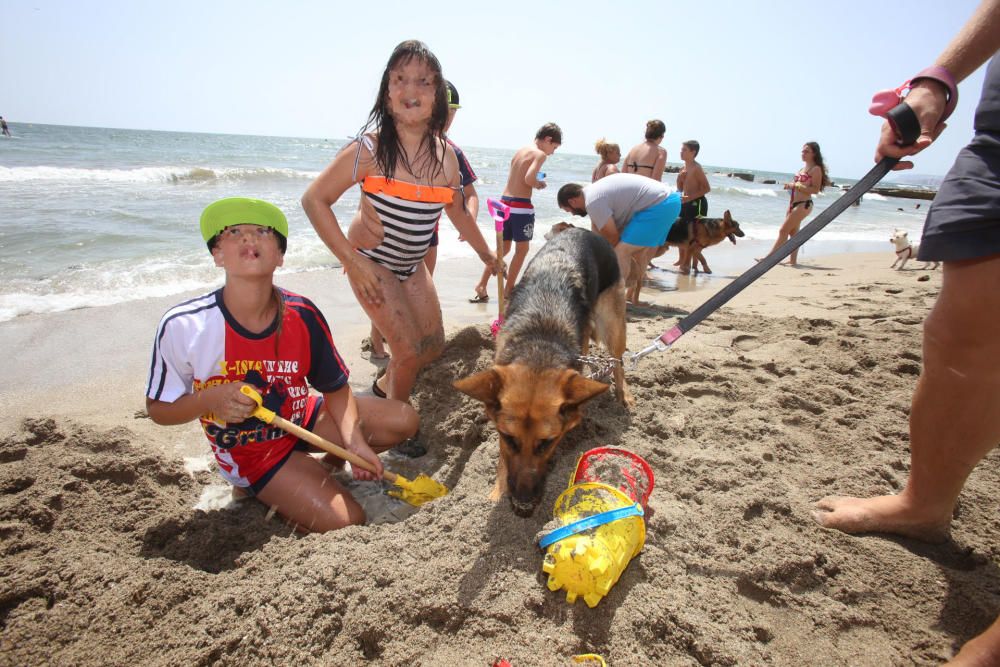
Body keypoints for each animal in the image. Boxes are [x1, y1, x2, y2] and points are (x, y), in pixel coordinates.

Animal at [456, 228, 628, 516]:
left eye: (547, 442)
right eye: (509, 438)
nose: (523, 504)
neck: (540, 342)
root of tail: (582, 230)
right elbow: (502, 459)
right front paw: (497, 491)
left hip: (612, 324)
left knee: (618, 363)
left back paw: (624, 395)